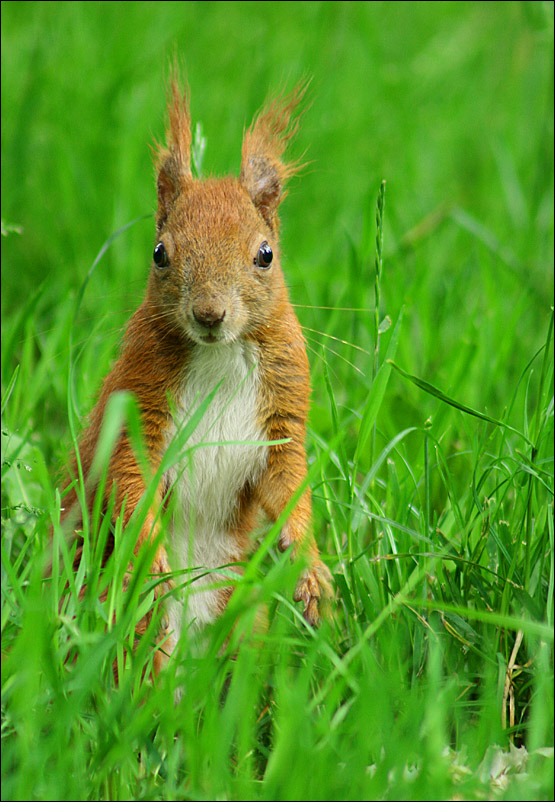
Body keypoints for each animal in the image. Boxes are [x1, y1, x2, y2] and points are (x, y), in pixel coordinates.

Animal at [62, 76, 330, 664]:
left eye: (266, 255)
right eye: (160, 253)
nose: (209, 314)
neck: (221, 355)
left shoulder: (281, 417)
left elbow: (288, 485)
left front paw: (311, 568)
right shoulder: (136, 405)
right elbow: (126, 478)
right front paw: (150, 556)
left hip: (239, 608)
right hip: (135, 625)